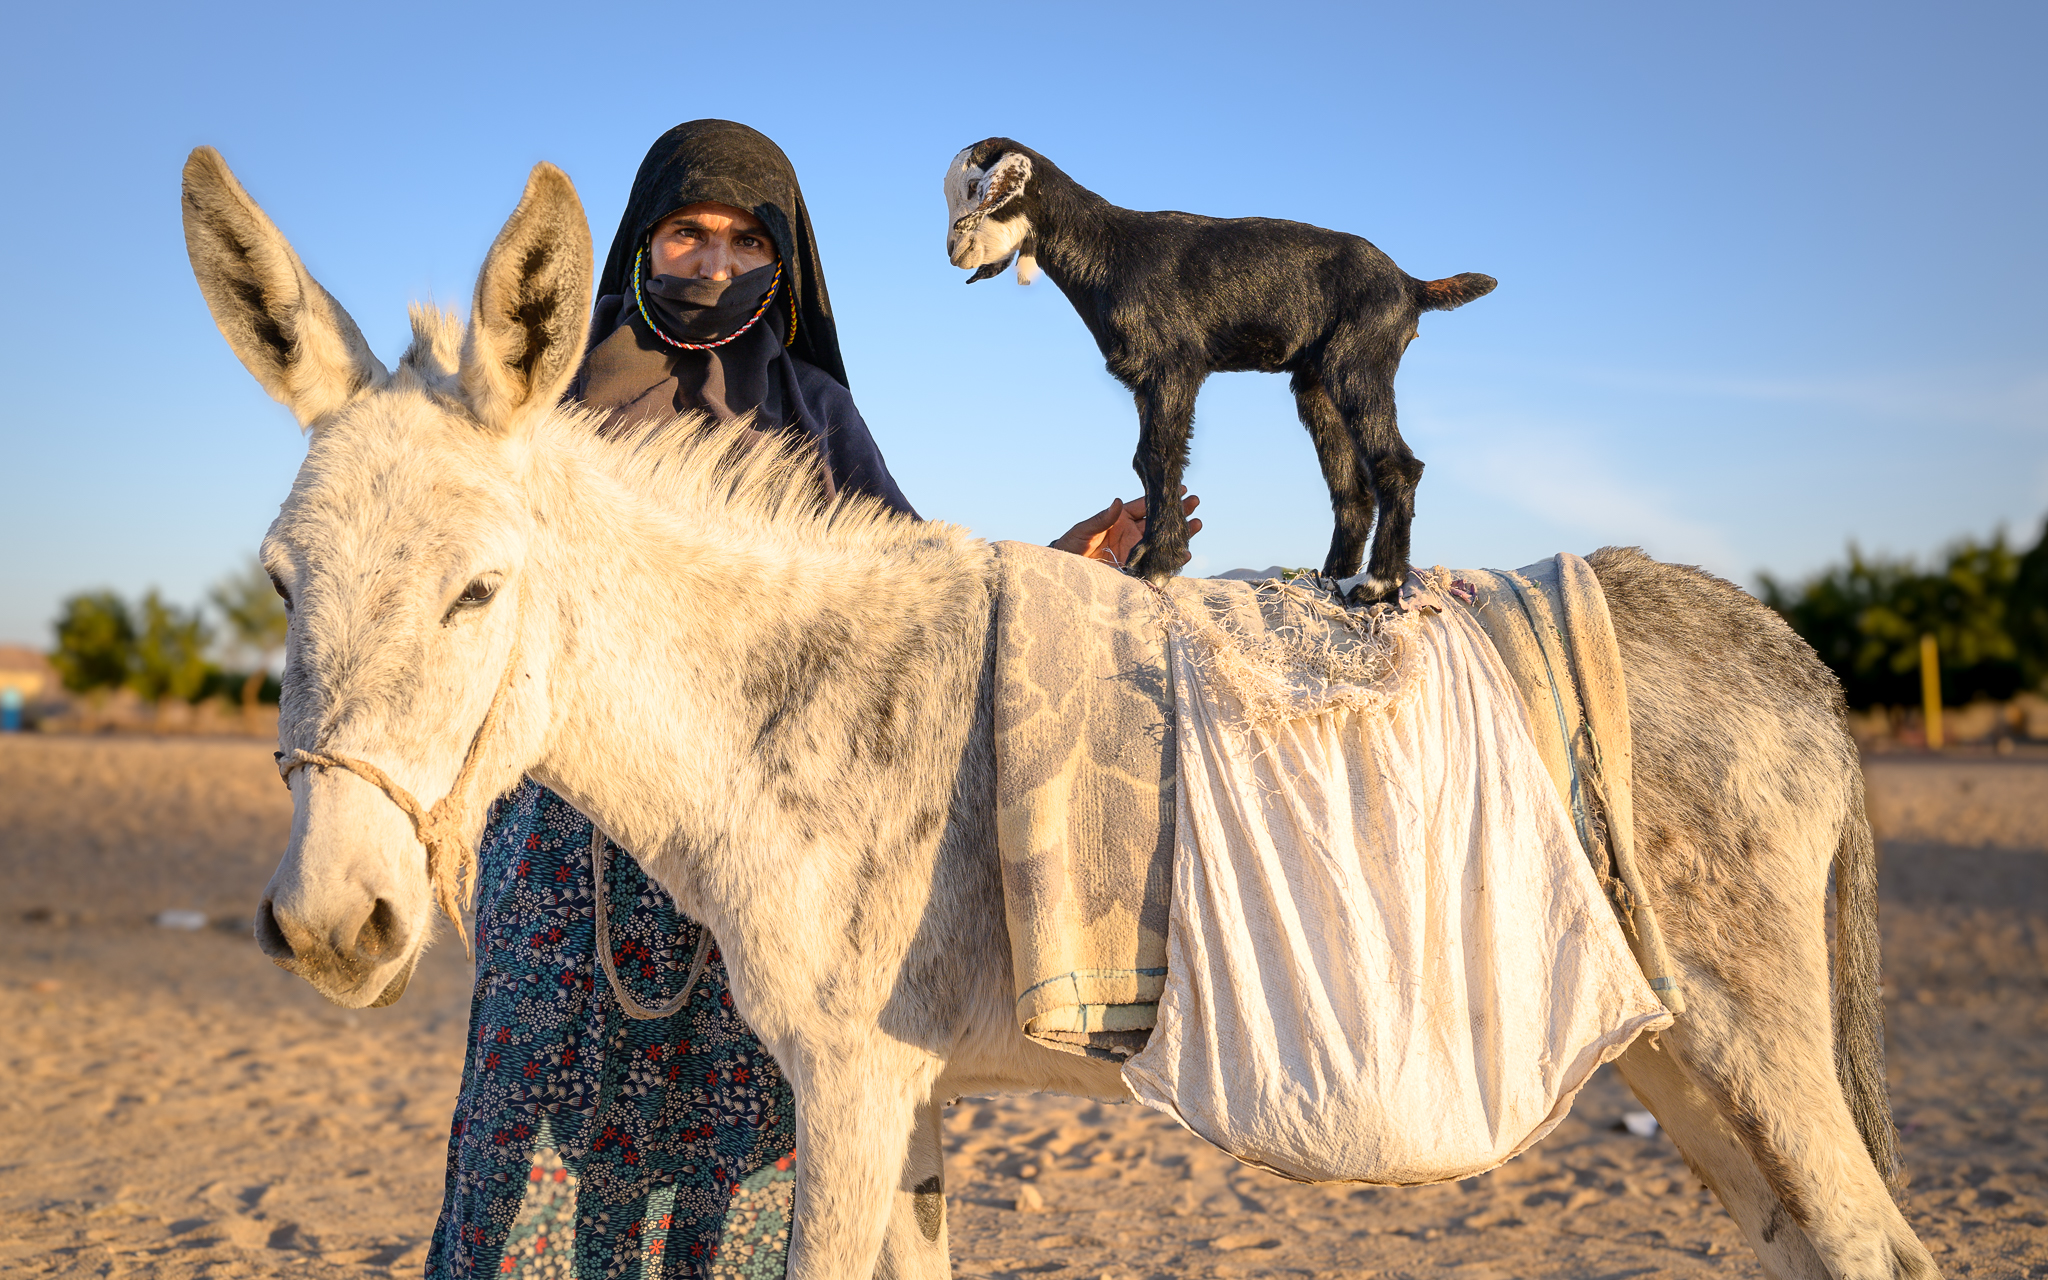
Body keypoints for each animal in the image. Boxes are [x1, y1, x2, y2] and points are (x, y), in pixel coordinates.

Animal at [937, 141, 1490, 593]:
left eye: (974, 188)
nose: (953, 251)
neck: (1108, 247)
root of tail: (1409, 285)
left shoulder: (1173, 367)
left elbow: (1157, 455)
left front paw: (1157, 561)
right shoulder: (1146, 383)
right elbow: (1147, 465)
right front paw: (1150, 553)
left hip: (1359, 363)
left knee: (1397, 465)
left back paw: (1379, 583)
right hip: (1318, 385)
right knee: (1350, 487)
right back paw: (1332, 576)